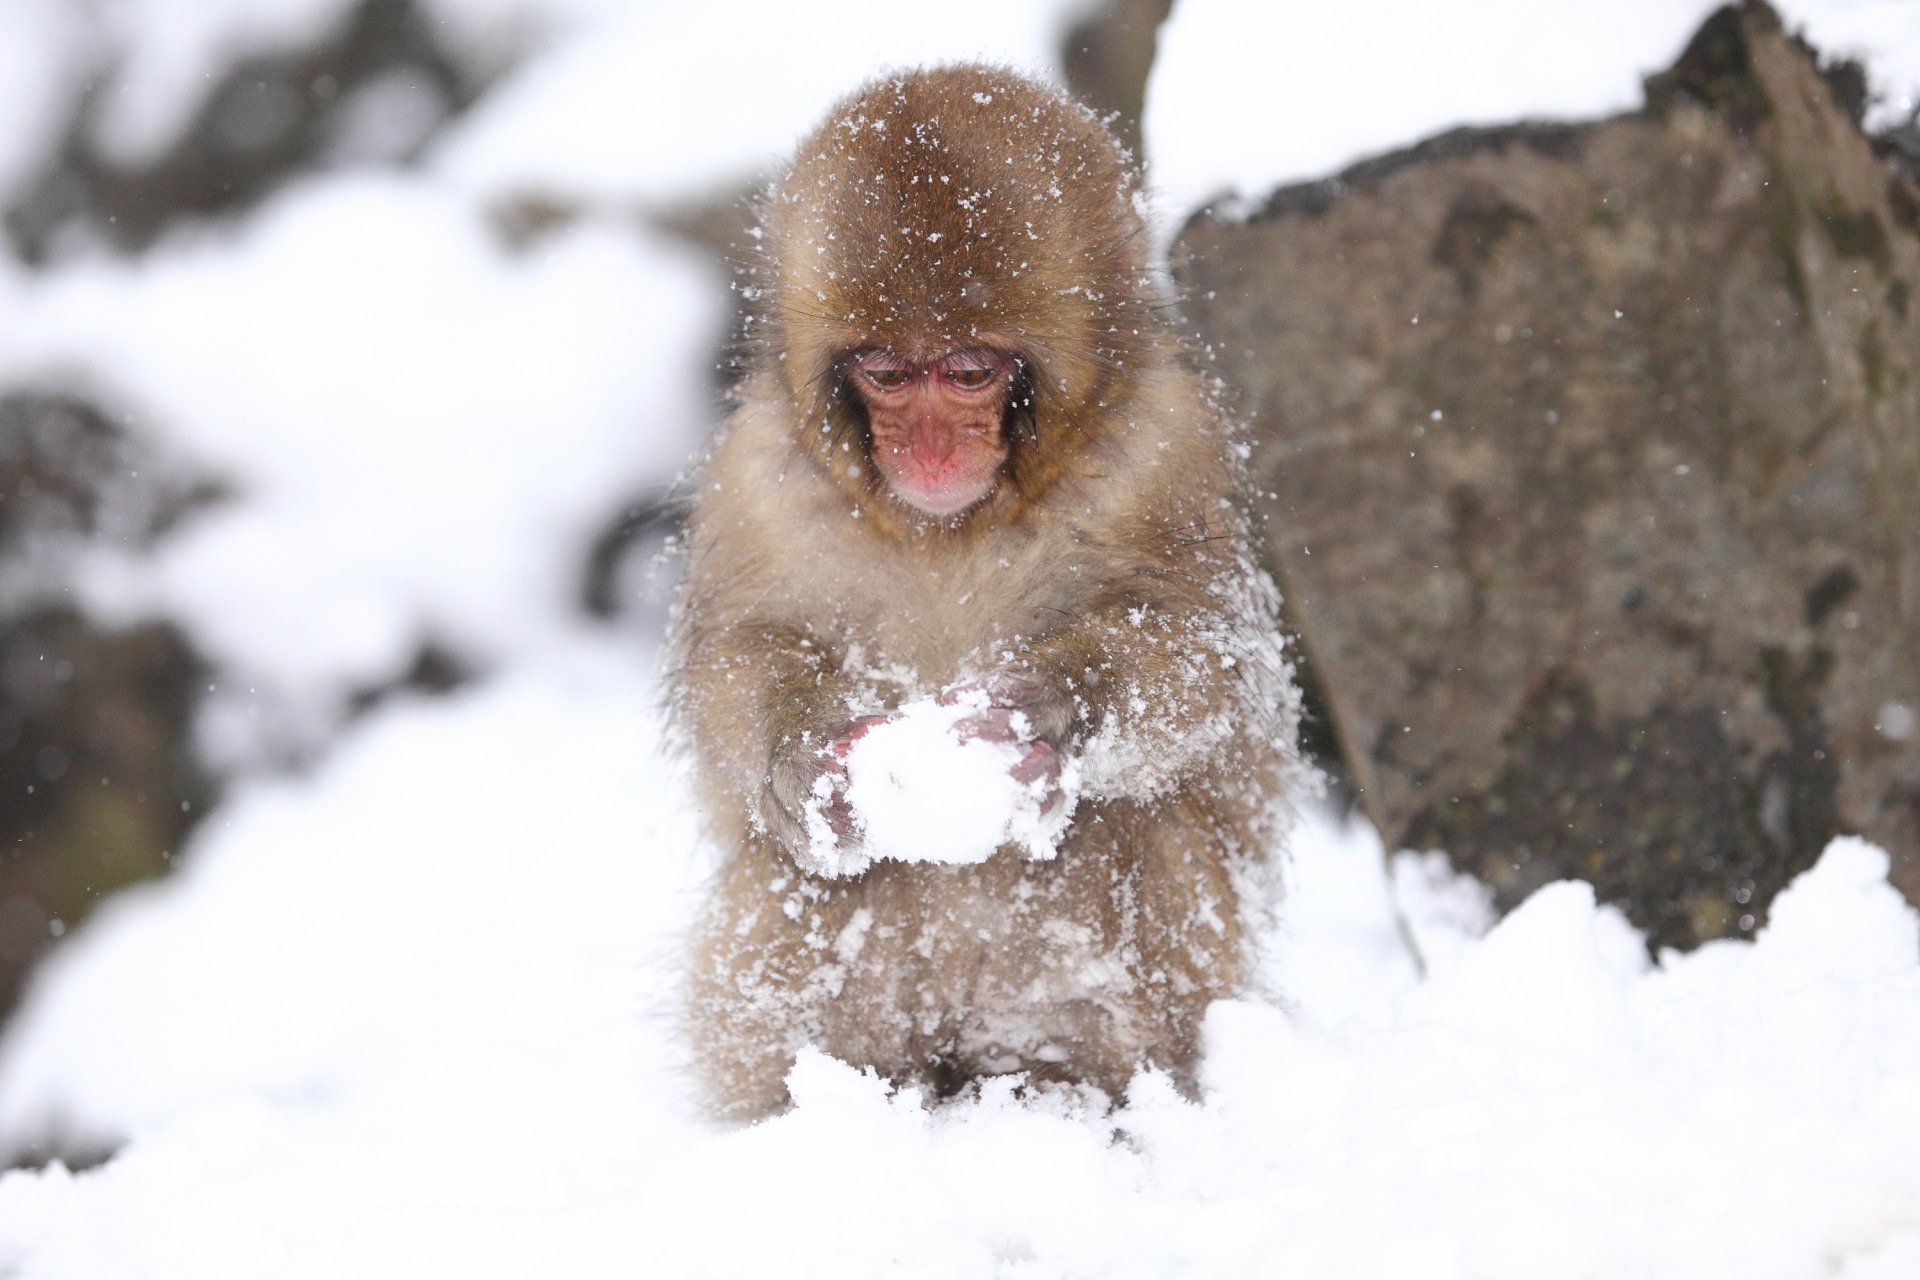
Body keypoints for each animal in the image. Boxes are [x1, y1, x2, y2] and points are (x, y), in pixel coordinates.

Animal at [668, 65, 1304, 1119]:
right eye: (886, 369)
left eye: (968, 371)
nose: (928, 450)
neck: (946, 528)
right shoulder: (755, 480)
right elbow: (740, 656)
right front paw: (800, 759)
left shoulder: (1168, 455)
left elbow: (1207, 658)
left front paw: (1050, 707)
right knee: (802, 882)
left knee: (1132, 829)